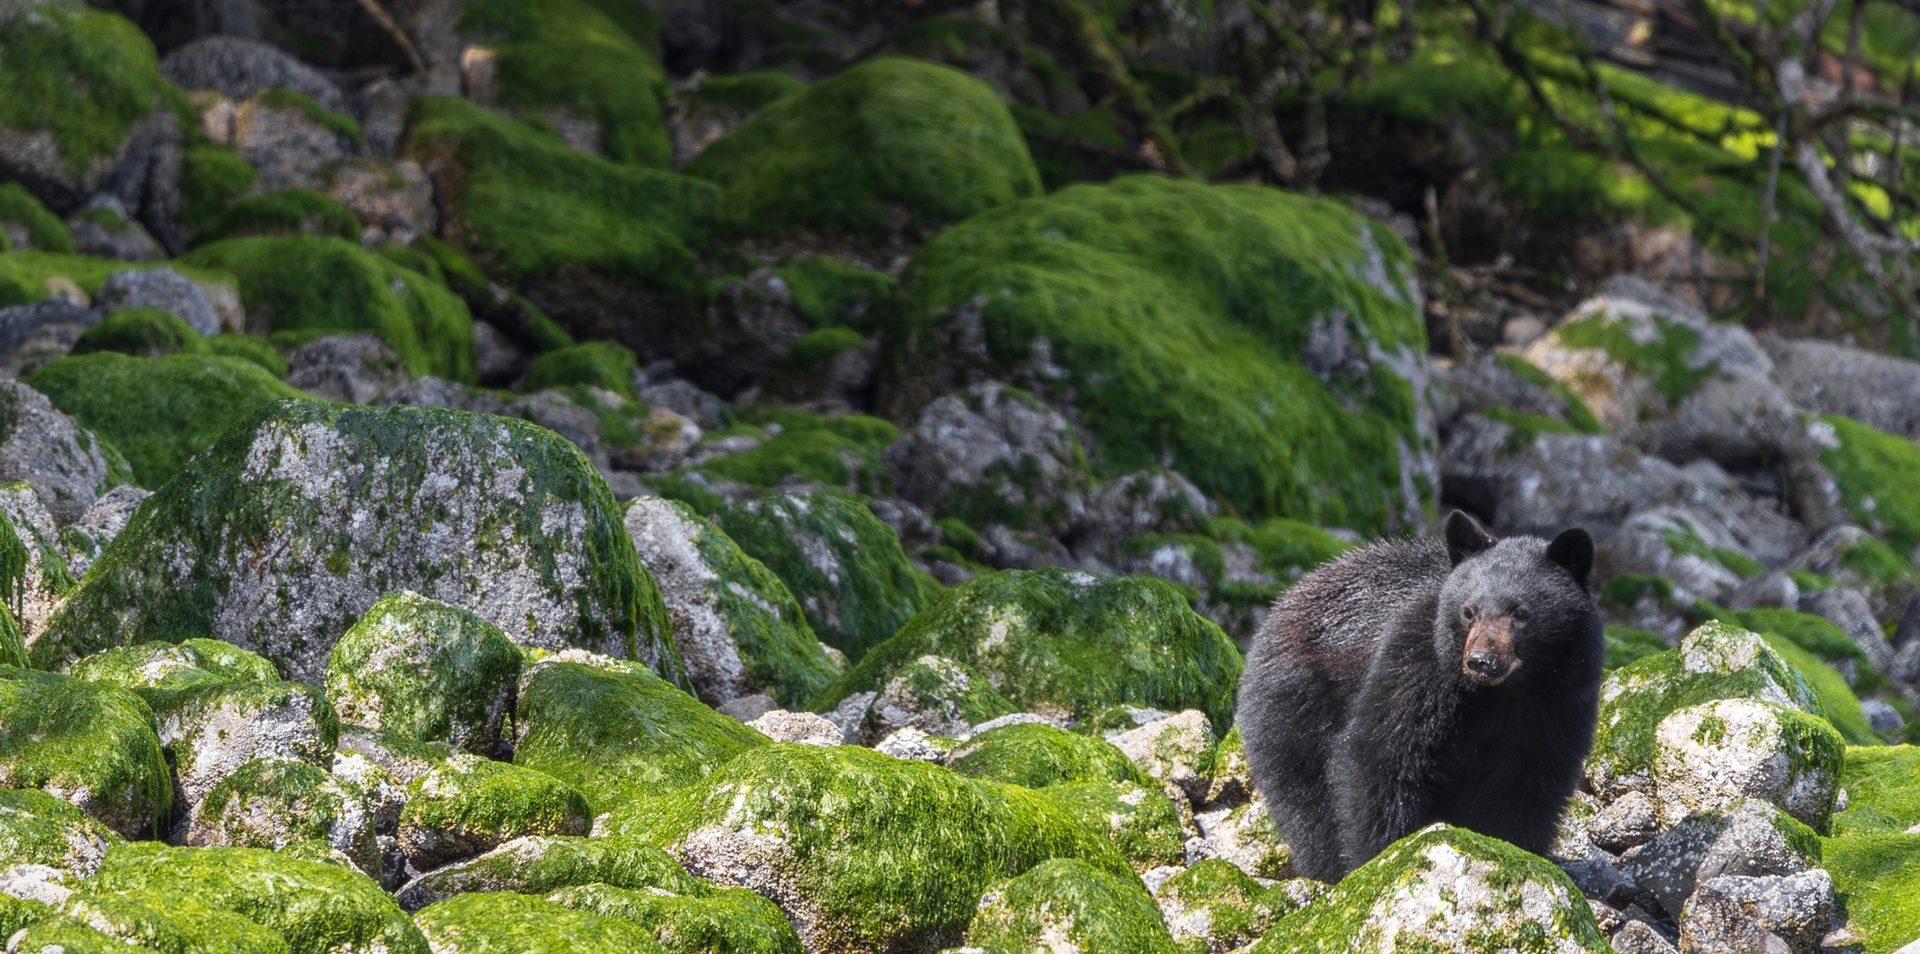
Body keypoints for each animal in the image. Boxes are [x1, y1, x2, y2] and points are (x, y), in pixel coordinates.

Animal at [1236, 510, 1603, 882]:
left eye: (1521, 613)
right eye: (1469, 611)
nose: (1480, 661)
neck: (1502, 693)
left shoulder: (1558, 699)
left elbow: (1528, 782)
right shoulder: (1418, 666)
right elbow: (1385, 758)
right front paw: (1383, 855)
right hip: (1297, 703)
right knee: (1307, 804)